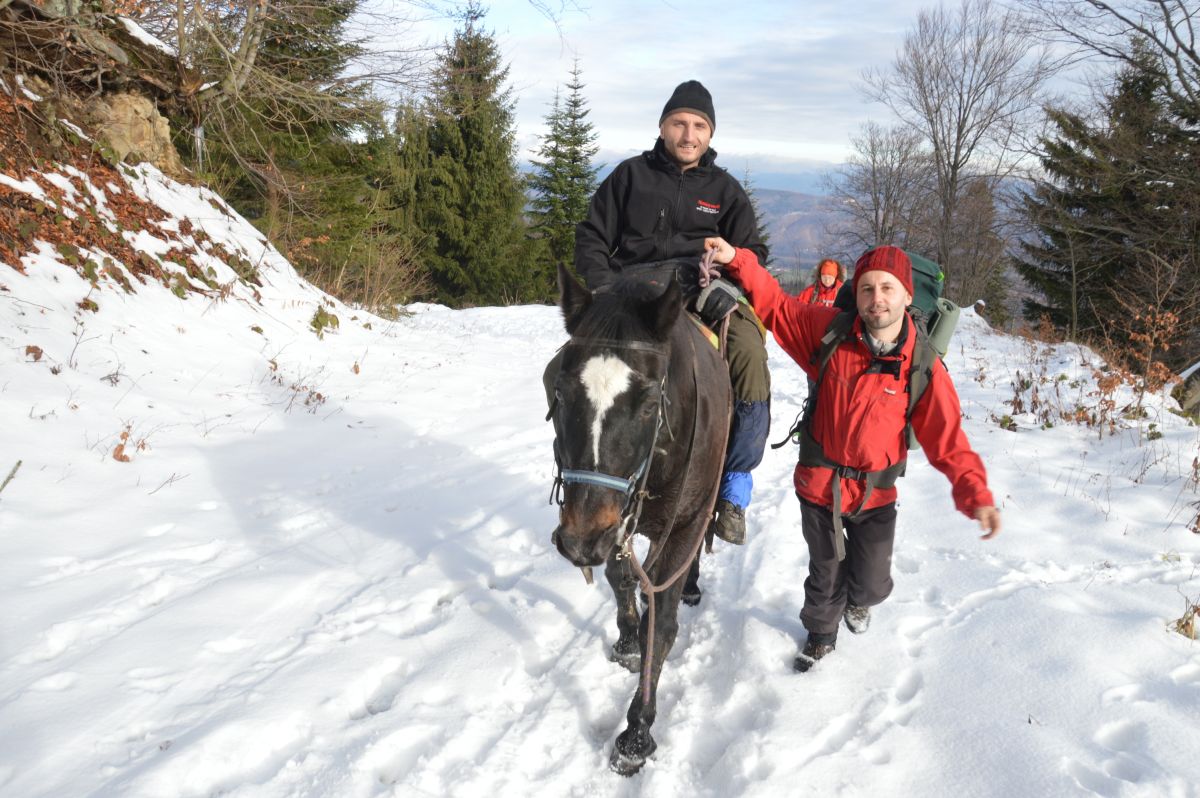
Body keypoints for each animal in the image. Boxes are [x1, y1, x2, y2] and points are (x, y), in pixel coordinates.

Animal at [547, 264, 729, 772]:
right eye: (560, 392)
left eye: (648, 404)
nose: (578, 542)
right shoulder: (613, 527)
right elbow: (620, 577)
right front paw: (628, 640)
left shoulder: (682, 526)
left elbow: (662, 623)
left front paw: (637, 729)